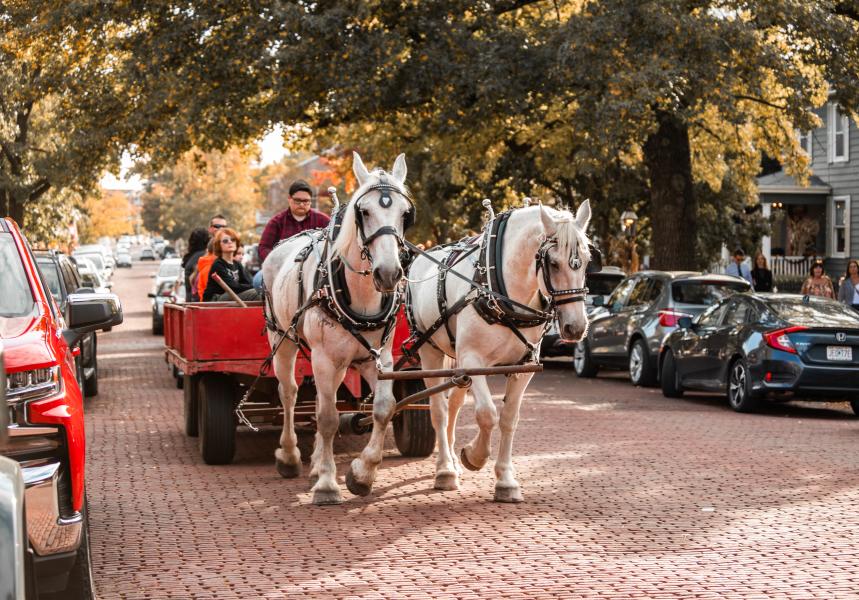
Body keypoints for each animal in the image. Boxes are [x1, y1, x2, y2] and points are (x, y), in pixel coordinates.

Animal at [261, 152, 413, 505]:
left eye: (405, 213)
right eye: (364, 211)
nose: (389, 273)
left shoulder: (378, 358)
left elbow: (383, 409)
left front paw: (361, 474)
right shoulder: (323, 358)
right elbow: (329, 418)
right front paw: (328, 485)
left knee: (319, 399)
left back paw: (316, 463)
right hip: (284, 340)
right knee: (289, 392)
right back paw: (290, 456)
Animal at [405, 200, 595, 502]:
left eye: (587, 261)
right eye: (553, 263)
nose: (575, 327)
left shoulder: (523, 367)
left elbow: (508, 419)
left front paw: (505, 480)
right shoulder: (474, 360)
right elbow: (487, 414)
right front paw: (474, 456)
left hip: (457, 361)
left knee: (454, 404)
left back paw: (452, 460)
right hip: (430, 352)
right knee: (439, 409)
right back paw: (445, 469)